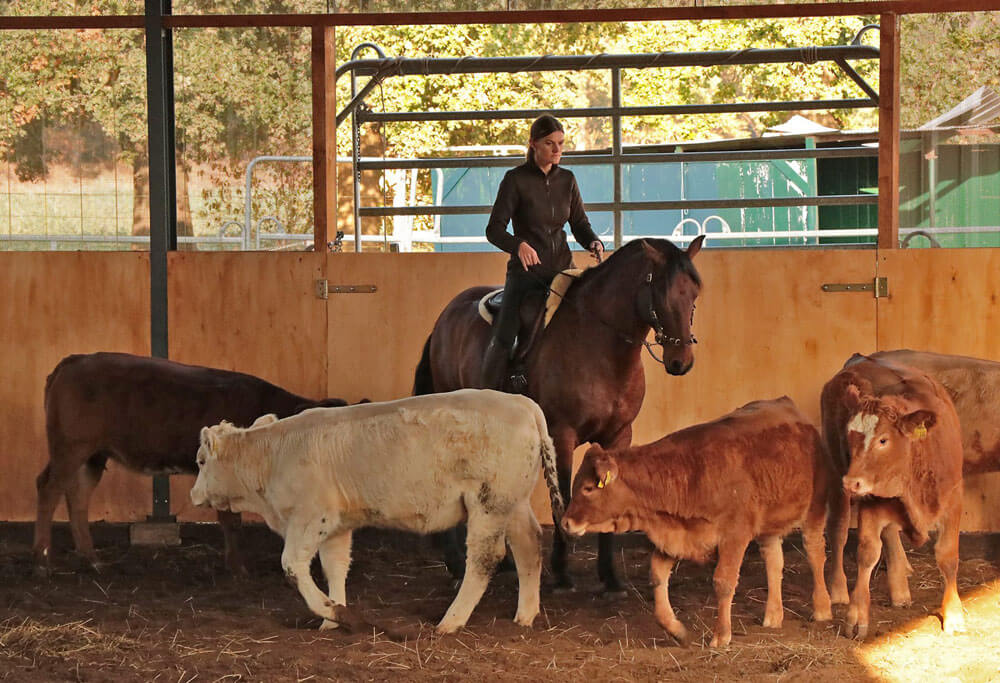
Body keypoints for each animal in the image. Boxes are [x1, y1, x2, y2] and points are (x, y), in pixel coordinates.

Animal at [36, 352, 348, 576]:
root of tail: (75, 360)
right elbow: (231, 521)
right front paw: (238, 568)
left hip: (93, 455)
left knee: (78, 497)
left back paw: (92, 560)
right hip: (71, 448)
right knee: (49, 489)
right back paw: (44, 561)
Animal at [188, 390, 564, 636]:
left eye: (201, 461)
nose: (193, 495)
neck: (273, 457)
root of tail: (522, 403)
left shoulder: (310, 516)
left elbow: (292, 566)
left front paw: (332, 612)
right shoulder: (336, 525)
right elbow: (335, 567)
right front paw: (333, 618)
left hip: (489, 502)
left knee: (486, 558)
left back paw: (451, 621)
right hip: (513, 502)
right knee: (529, 544)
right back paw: (525, 615)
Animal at [412, 236, 704, 592]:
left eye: (693, 294)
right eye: (661, 293)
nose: (681, 361)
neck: (600, 344)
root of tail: (445, 318)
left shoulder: (619, 436)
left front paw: (610, 577)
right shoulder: (561, 435)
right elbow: (562, 498)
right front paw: (562, 573)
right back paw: (455, 563)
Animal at [560, 396, 832, 648]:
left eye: (588, 488)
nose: (565, 523)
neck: (691, 473)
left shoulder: (735, 535)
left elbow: (723, 582)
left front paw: (721, 635)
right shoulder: (675, 536)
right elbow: (657, 576)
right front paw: (676, 630)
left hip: (816, 508)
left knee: (815, 552)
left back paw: (822, 608)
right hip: (769, 525)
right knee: (774, 562)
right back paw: (773, 616)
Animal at [816, 356, 964, 640]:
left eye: (883, 440)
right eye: (849, 437)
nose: (851, 482)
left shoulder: (953, 499)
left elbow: (947, 555)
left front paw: (954, 613)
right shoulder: (870, 502)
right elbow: (867, 553)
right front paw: (856, 615)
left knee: (891, 534)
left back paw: (899, 586)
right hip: (837, 473)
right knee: (839, 531)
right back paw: (839, 589)